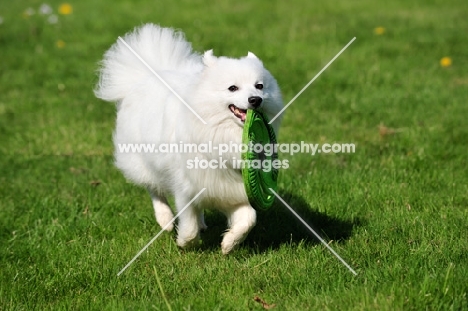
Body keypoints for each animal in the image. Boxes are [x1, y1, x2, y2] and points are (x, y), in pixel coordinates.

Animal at [95, 23, 282, 254]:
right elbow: (188, 223)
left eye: (260, 86)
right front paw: (185, 242)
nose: (255, 100)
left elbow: (249, 219)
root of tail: (151, 73)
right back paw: (165, 219)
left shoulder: (232, 188)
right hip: (143, 162)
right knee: (154, 189)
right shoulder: (186, 188)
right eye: (232, 88)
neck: (222, 133)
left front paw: (228, 244)